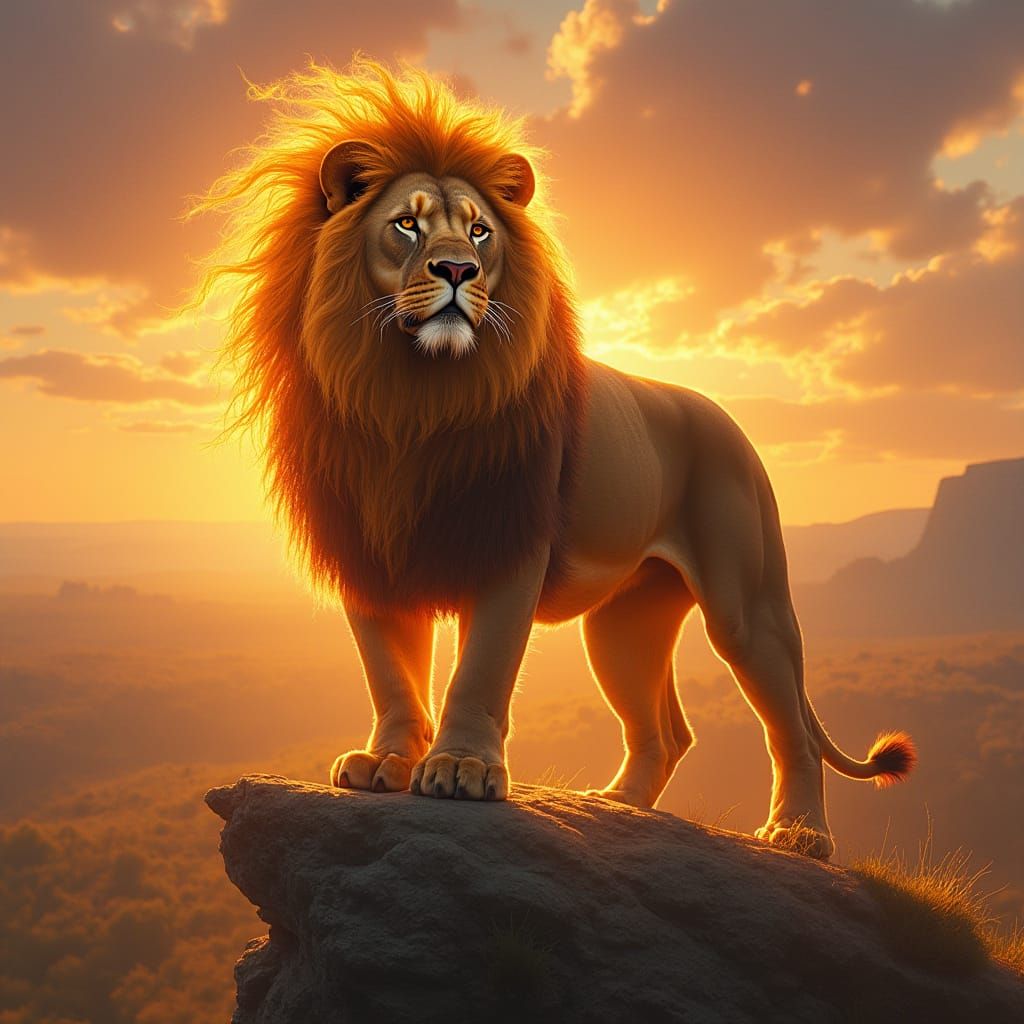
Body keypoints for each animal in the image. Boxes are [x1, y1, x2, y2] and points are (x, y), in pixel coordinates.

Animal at [193, 59, 915, 859]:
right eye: (406, 223)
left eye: (480, 229)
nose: (458, 269)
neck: (409, 398)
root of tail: (724, 417)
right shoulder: (371, 551)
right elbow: (391, 673)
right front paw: (386, 760)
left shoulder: (510, 541)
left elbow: (481, 669)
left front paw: (461, 769)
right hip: (625, 624)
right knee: (668, 731)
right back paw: (620, 807)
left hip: (745, 605)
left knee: (793, 729)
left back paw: (799, 833)